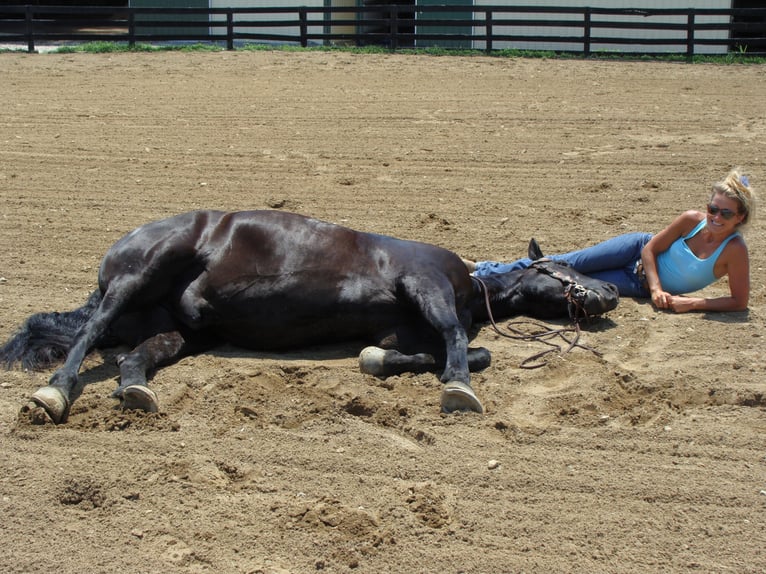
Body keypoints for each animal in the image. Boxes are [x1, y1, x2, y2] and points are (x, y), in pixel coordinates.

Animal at [0, 210, 616, 424]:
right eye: (563, 265)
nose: (610, 290)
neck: (473, 286)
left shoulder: (403, 324)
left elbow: (454, 348)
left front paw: (379, 361)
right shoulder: (428, 284)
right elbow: (458, 342)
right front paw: (459, 388)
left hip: (177, 332)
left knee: (132, 357)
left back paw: (135, 391)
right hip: (137, 277)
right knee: (88, 333)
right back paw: (55, 392)